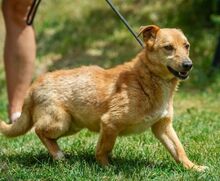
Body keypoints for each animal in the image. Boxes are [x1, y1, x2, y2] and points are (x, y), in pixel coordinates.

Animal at [0, 25, 206, 171]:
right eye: (168, 48)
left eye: (186, 46)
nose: (188, 65)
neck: (148, 78)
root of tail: (33, 86)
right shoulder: (109, 123)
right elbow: (103, 148)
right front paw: (106, 168)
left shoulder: (162, 126)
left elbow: (178, 149)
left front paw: (192, 167)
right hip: (60, 121)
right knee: (38, 131)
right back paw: (58, 155)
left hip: (72, 125)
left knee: (47, 135)